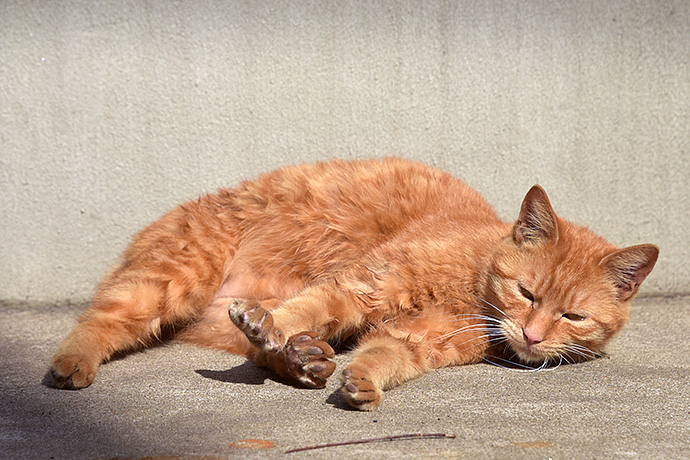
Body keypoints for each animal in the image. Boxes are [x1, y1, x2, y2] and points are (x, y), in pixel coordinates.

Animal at [49, 157, 656, 410]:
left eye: (572, 316)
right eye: (527, 294)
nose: (532, 336)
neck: (471, 288)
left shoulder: (417, 343)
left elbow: (383, 358)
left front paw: (362, 382)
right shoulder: (361, 285)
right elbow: (302, 309)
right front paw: (270, 322)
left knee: (264, 353)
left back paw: (306, 361)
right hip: (171, 279)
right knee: (100, 319)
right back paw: (70, 366)